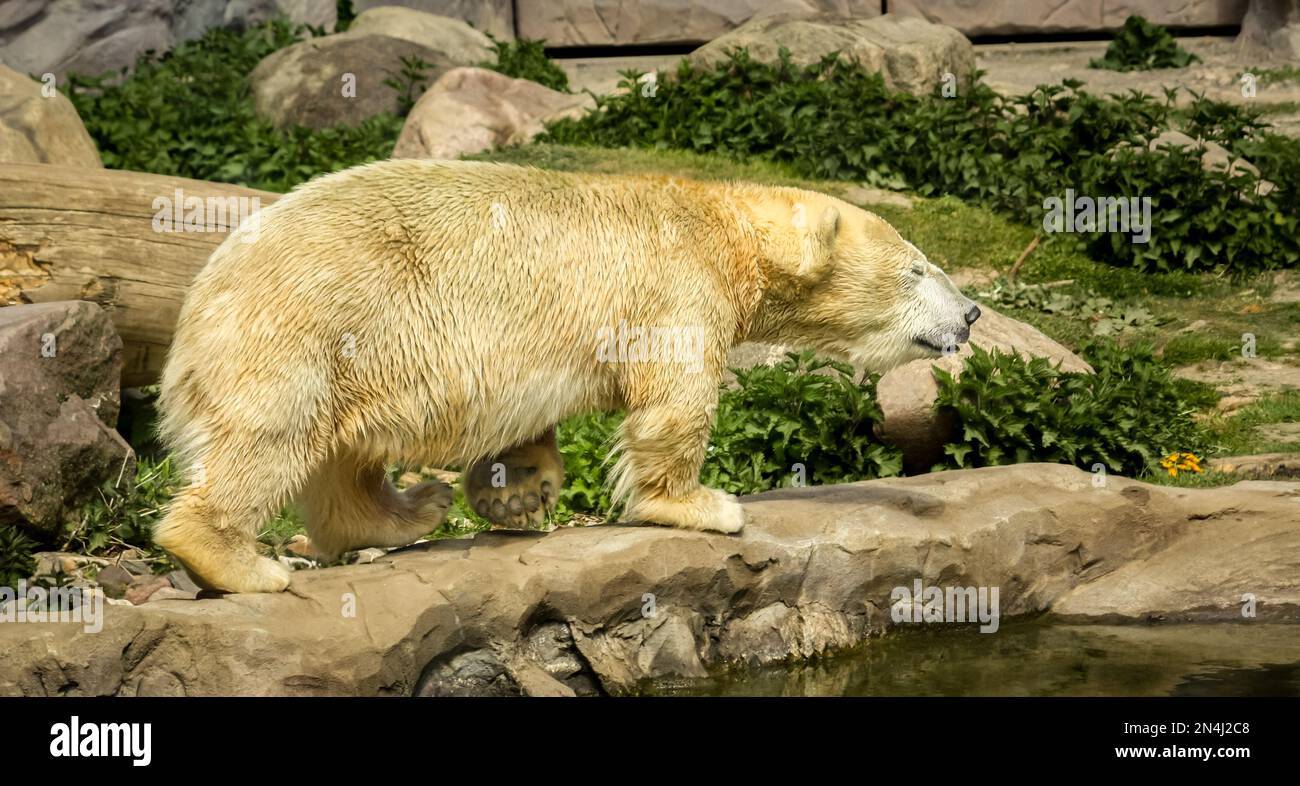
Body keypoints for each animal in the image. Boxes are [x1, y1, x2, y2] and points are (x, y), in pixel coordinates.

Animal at [152, 159, 977, 587]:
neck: (726, 231)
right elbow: (674, 401)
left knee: (341, 458)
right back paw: (244, 564)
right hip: (315, 326)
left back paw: (412, 509)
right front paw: (703, 504)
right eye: (917, 269)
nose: (970, 314)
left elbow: (526, 416)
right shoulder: (674, 285)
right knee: (271, 441)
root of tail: (196, 306)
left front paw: (521, 491)